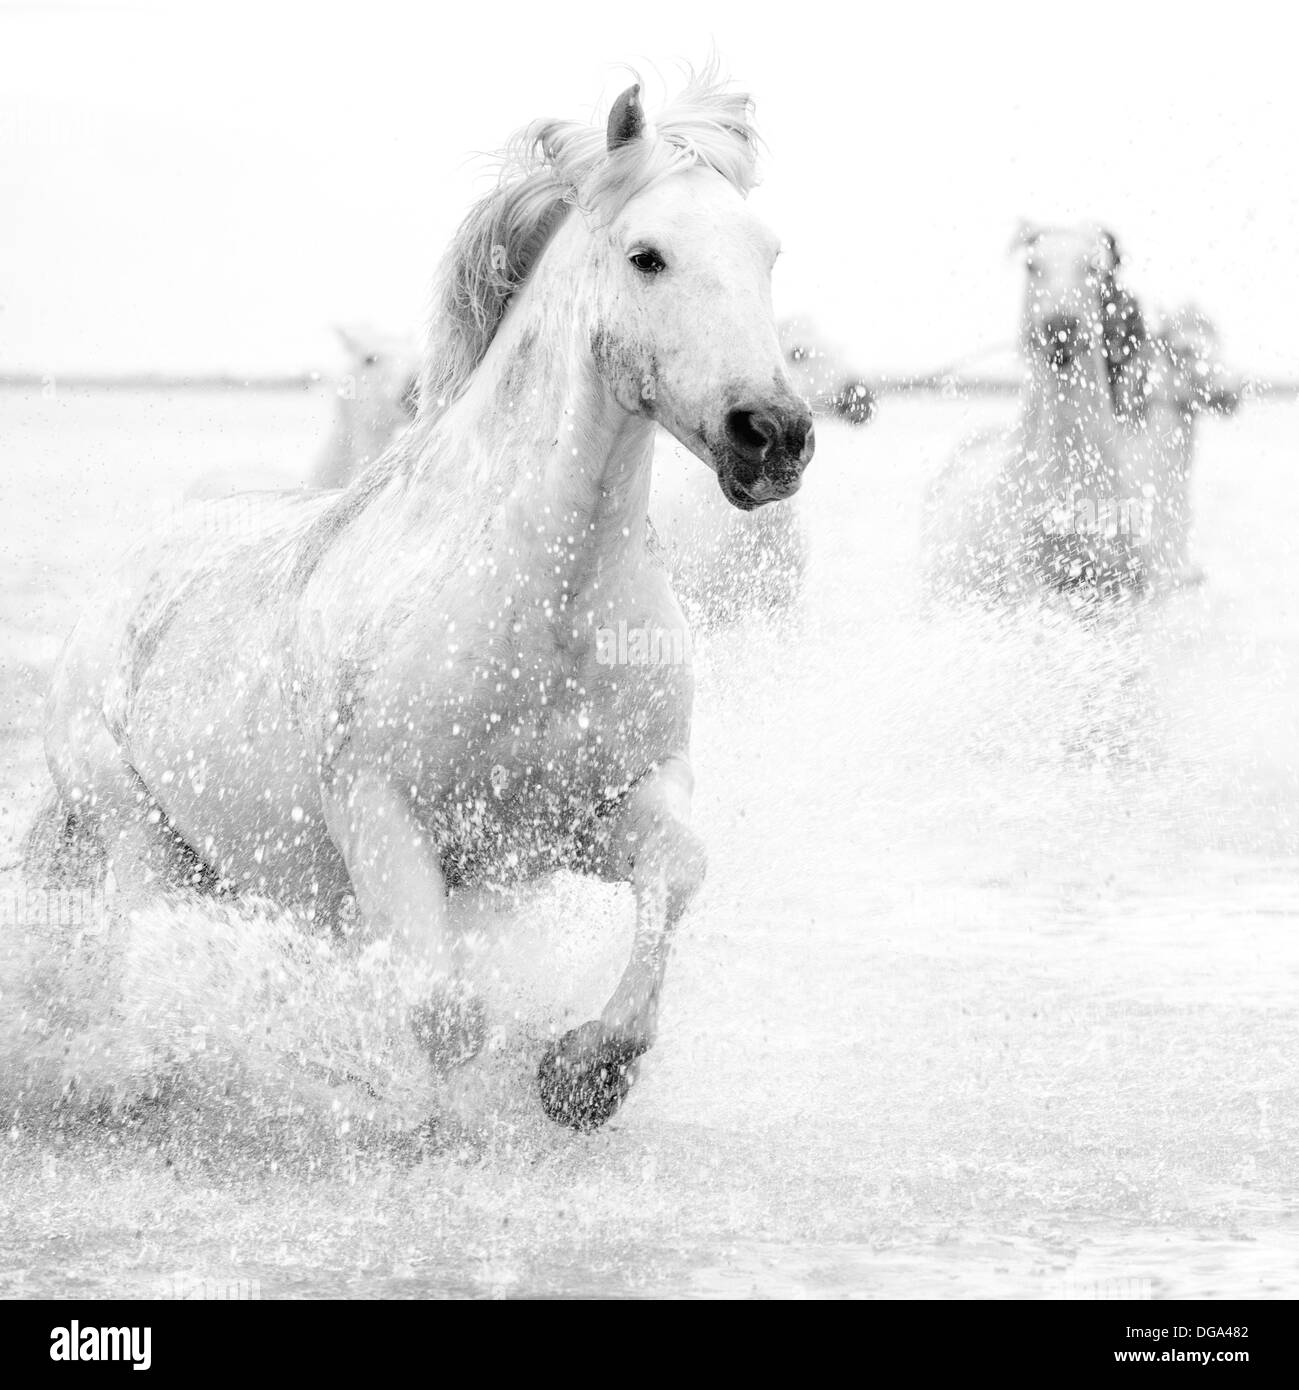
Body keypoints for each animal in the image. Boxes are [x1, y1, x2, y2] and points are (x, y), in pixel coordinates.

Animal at [29, 72, 814, 1133]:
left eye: (767, 254)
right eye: (648, 256)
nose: (771, 434)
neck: (545, 607)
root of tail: (128, 575)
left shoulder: (600, 808)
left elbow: (675, 874)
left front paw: (585, 1071)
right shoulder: (383, 816)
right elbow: (441, 1011)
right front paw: (411, 1108)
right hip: (139, 831)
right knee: (157, 965)